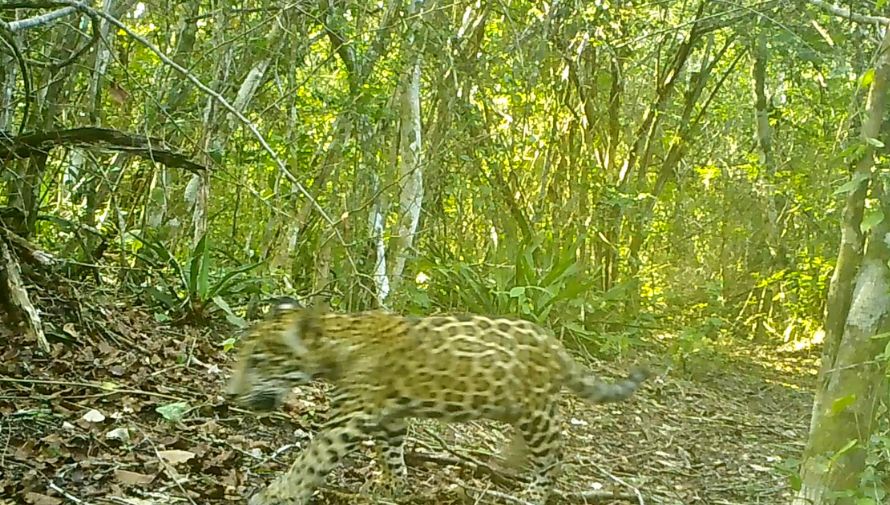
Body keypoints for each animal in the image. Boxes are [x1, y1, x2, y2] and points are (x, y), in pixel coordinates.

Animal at [226, 301, 650, 505]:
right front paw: (394, 487)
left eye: (258, 360)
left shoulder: (346, 418)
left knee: (557, 454)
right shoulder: (390, 417)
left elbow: (311, 459)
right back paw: (510, 460)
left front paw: (277, 494)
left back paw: (531, 495)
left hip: (537, 413)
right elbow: (391, 454)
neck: (335, 343)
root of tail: (556, 344)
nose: (229, 394)